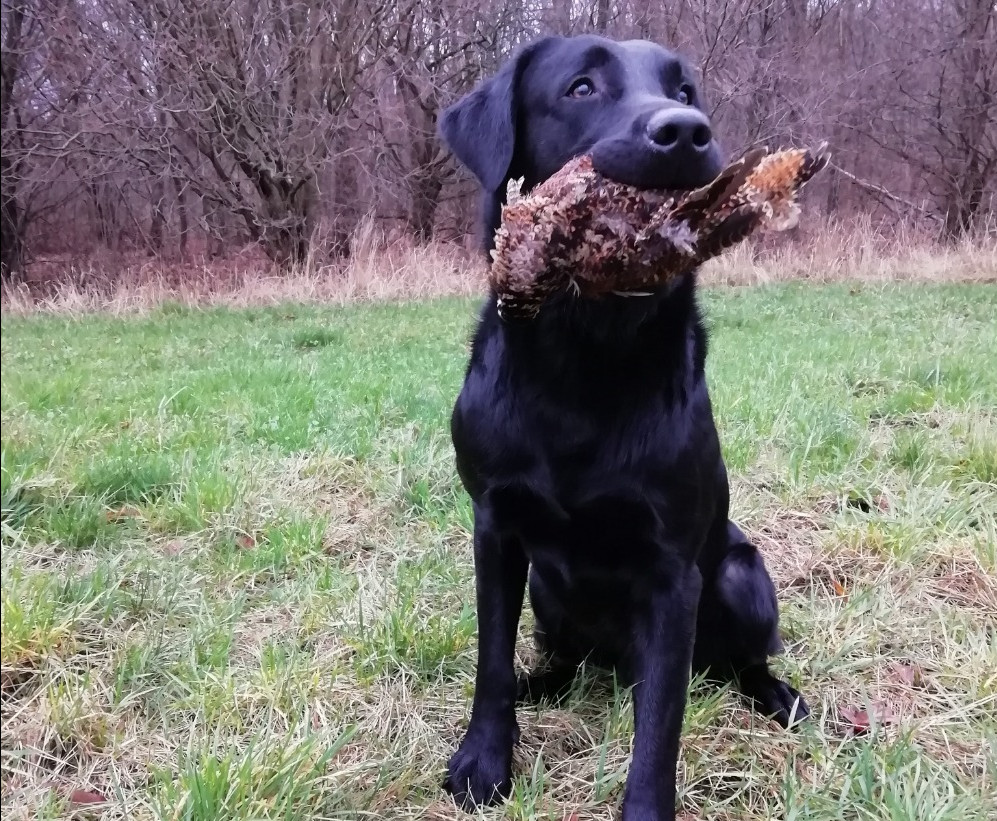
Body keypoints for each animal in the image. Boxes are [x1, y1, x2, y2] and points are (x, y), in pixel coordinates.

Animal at [440, 33, 804, 820]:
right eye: (581, 87)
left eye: (685, 90)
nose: (686, 131)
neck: (586, 360)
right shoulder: (495, 528)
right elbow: (490, 660)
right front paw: (484, 762)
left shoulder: (672, 575)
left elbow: (660, 722)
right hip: (547, 589)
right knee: (561, 658)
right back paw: (542, 684)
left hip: (739, 573)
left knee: (739, 662)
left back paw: (778, 697)